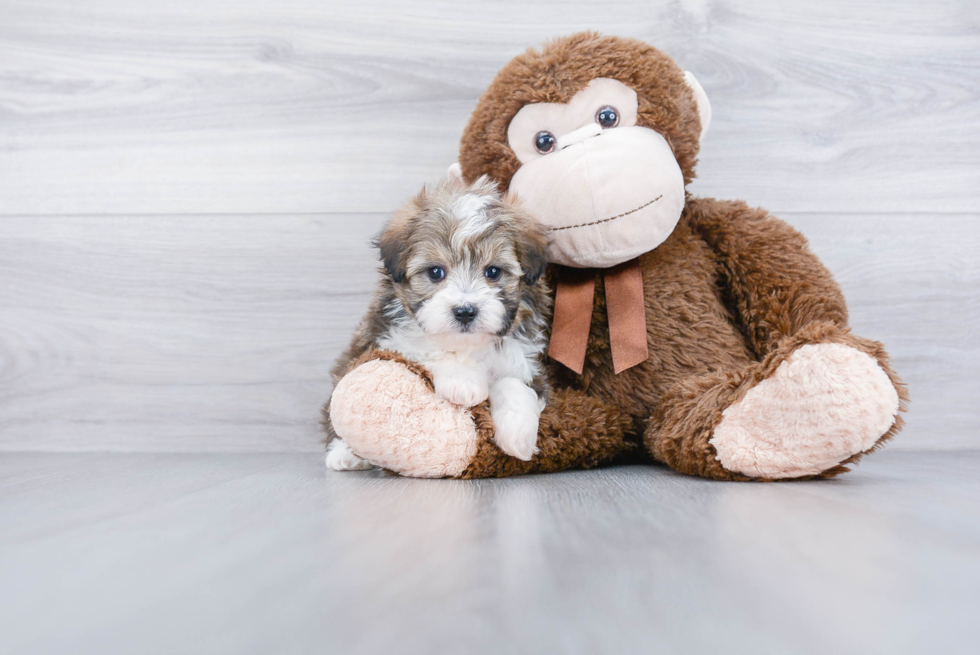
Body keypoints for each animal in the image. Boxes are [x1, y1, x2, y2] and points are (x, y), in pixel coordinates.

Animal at [324, 176, 548, 472]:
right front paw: (463, 382)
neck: (468, 345)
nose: (465, 311)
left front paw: (518, 432)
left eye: (493, 272)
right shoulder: (389, 335)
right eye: (435, 272)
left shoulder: (525, 358)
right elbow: (427, 346)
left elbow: (514, 382)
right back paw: (344, 454)